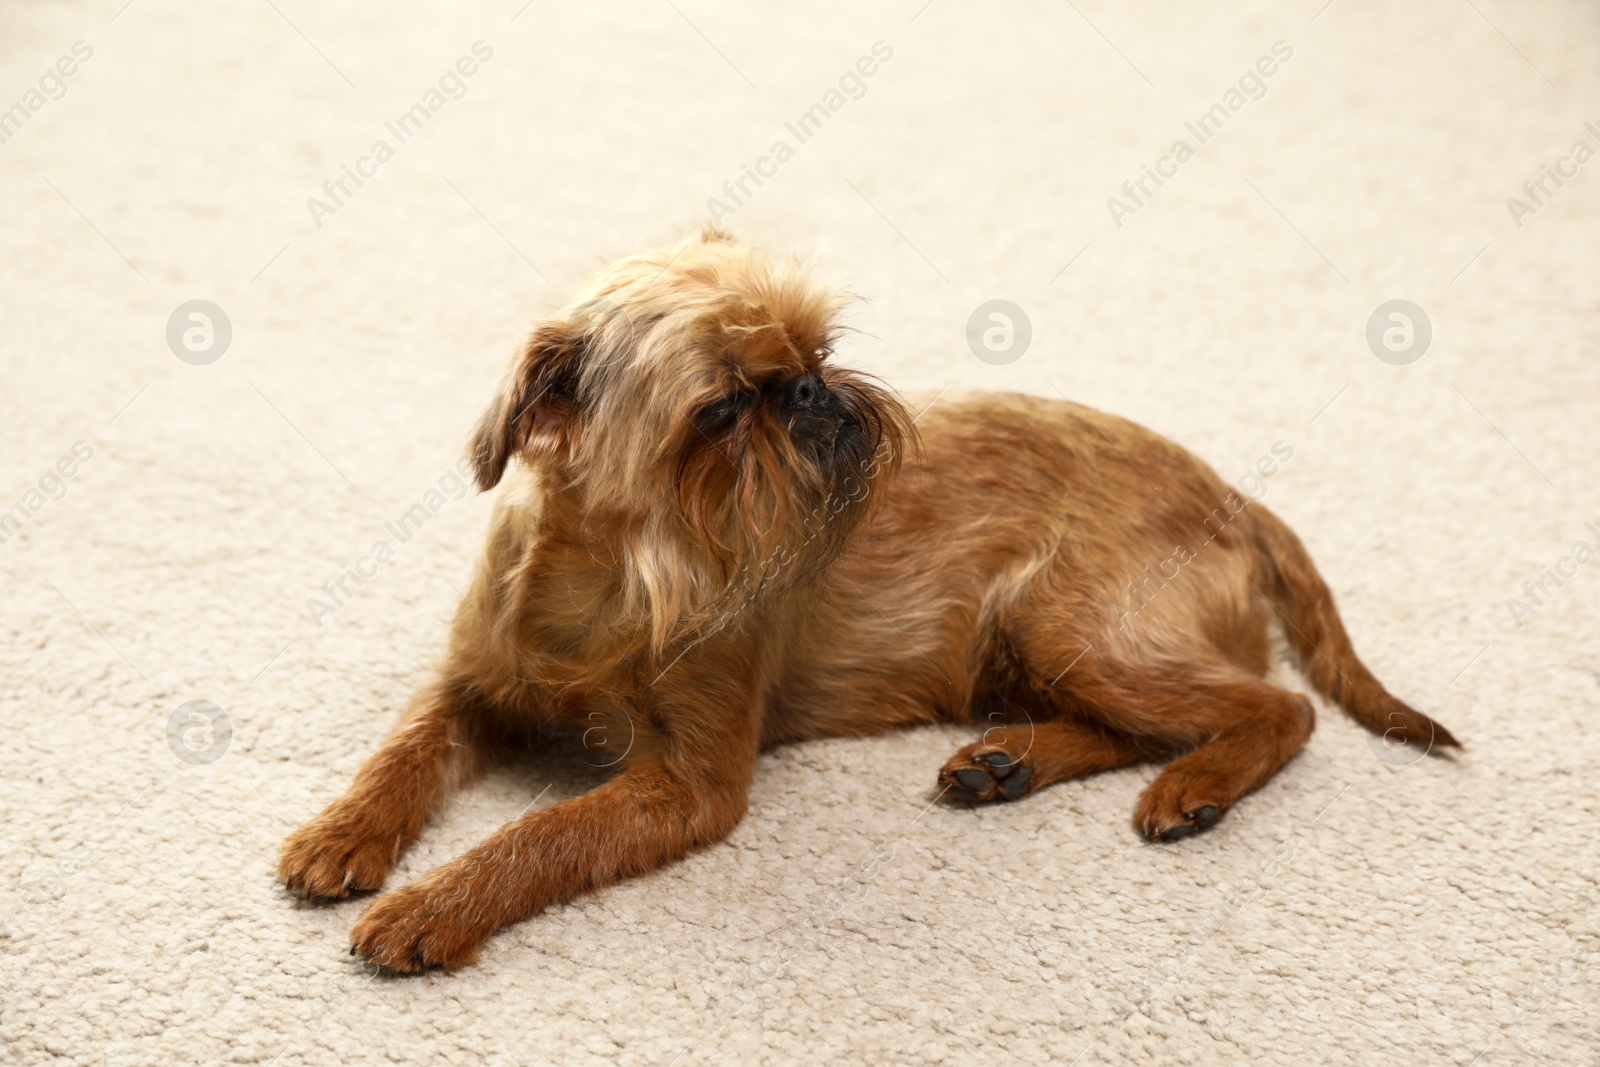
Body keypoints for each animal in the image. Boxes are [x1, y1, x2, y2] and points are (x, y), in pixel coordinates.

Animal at [281, 230, 1459, 972]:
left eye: (819, 352)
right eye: (720, 410)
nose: (811, 390)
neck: (622, 571)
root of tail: (1236, 498)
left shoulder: (687, 786)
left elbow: (542, 832)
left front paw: (431, 905)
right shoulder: (469, 688)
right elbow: (400, 753)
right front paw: (342, 834)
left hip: (1064, 620)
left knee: (1274, 707)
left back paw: (1193, 783)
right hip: (1038, 645)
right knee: (1146, 720)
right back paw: (1007, 761)